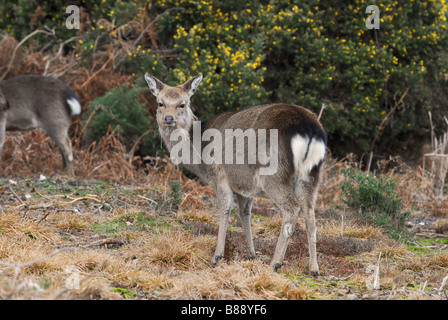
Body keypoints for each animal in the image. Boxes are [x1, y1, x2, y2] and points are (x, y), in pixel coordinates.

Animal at [145, 73, 328, 276]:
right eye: (160, 103)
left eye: (182, 104)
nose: (168, 118)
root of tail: (309, 129)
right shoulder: (245, 186)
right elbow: (245, 213)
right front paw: (252, 254)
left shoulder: (220, 175)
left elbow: (225, 210)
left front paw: (217, 256)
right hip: (312, 175)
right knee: (310, 213)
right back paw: (314, 268)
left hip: (274, 173)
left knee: (292, 209)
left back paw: (275, 263)